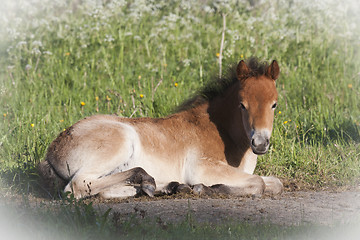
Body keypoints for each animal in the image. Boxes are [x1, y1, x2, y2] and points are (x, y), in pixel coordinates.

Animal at [38, 58, 284, 199]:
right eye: (242, 105)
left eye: (274, 104)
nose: (260, 143)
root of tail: (52, 151)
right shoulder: (202, 168)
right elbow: (259, 183)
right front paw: (204, 188)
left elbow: (275, 183)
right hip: (120, 141)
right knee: (78, 187)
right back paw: (148, 180)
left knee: (103, 190)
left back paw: (165, 186)